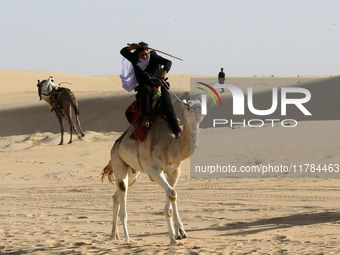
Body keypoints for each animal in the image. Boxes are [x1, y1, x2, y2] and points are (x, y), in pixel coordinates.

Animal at [101, 99, 205, 245]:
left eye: (201, 102)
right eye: (189, 106)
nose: (203, 111)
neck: (169, 145)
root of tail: (116, 144)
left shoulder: (174, 171)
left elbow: (172, 194)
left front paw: (180, 233)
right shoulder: (153, 171)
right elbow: (171, 193)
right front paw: (173, 239)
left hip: (132, 173)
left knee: (116, 196)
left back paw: (113, 235)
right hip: (117, 160)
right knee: (122, 188)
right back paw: (127, 238)